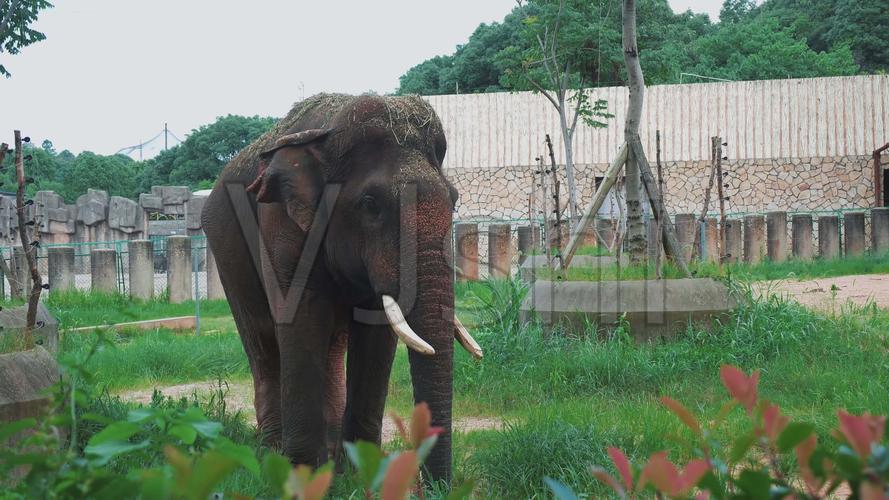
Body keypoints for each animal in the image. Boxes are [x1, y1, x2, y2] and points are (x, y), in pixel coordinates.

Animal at [201, 93, 482, 485]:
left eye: (454, 199)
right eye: (370, 205)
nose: (435, 488)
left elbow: (376, 335)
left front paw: (358, 477)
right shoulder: (283, 224)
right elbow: (301, 319)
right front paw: (302, 477)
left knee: (331, 347)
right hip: (226, 251)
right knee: (262, 345)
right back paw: (272, 453)